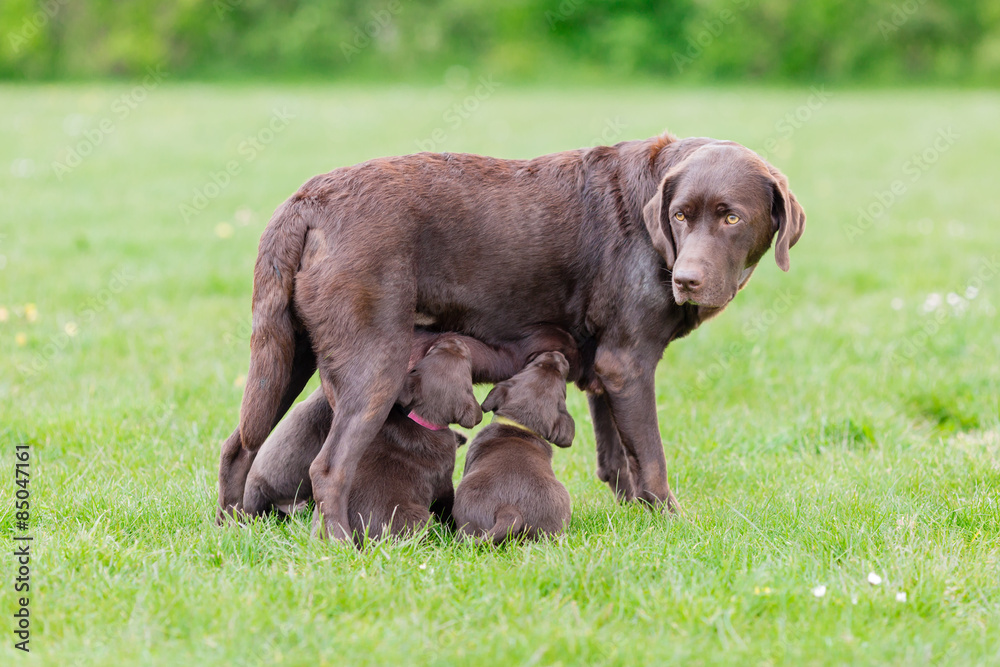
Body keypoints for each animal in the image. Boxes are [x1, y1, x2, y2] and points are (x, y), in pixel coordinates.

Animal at [242, 340, 476, 544]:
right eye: (466, 365)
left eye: (433, 352)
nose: (455, 341)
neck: (420, 418)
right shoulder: (443, 481)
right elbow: (447, 504)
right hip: (418, 518)